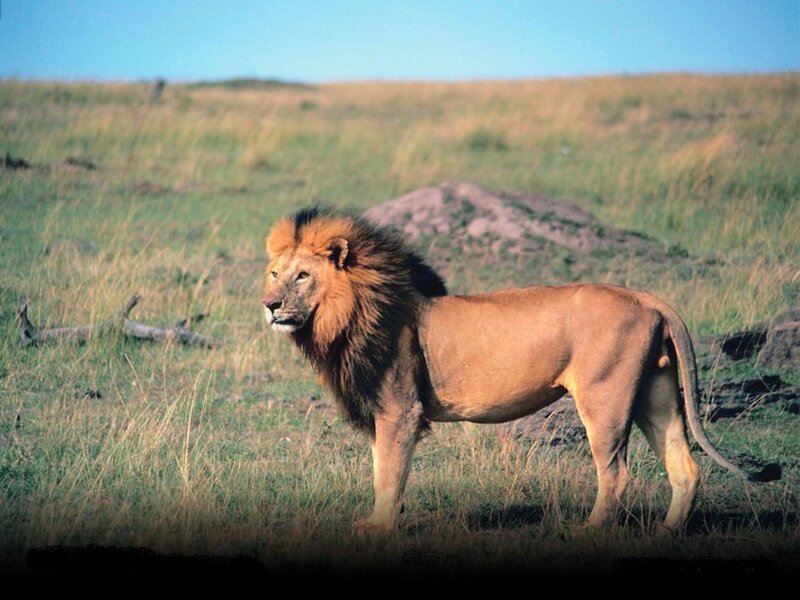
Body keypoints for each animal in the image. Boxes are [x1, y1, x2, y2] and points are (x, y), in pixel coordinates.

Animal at [262, 207, 780, 534]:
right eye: (274, 273)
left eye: (302, 276)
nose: (269, 305)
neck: (346, 315)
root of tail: (647, 298)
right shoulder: (381, 415)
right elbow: (380, 471)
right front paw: (375, 522)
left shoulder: (400, 409)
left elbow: (389, 475)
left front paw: (381, 530)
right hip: (657, 394)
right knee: (685, 467)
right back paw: (667, 533)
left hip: (605, 398)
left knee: (616, 472)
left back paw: (587, 531)